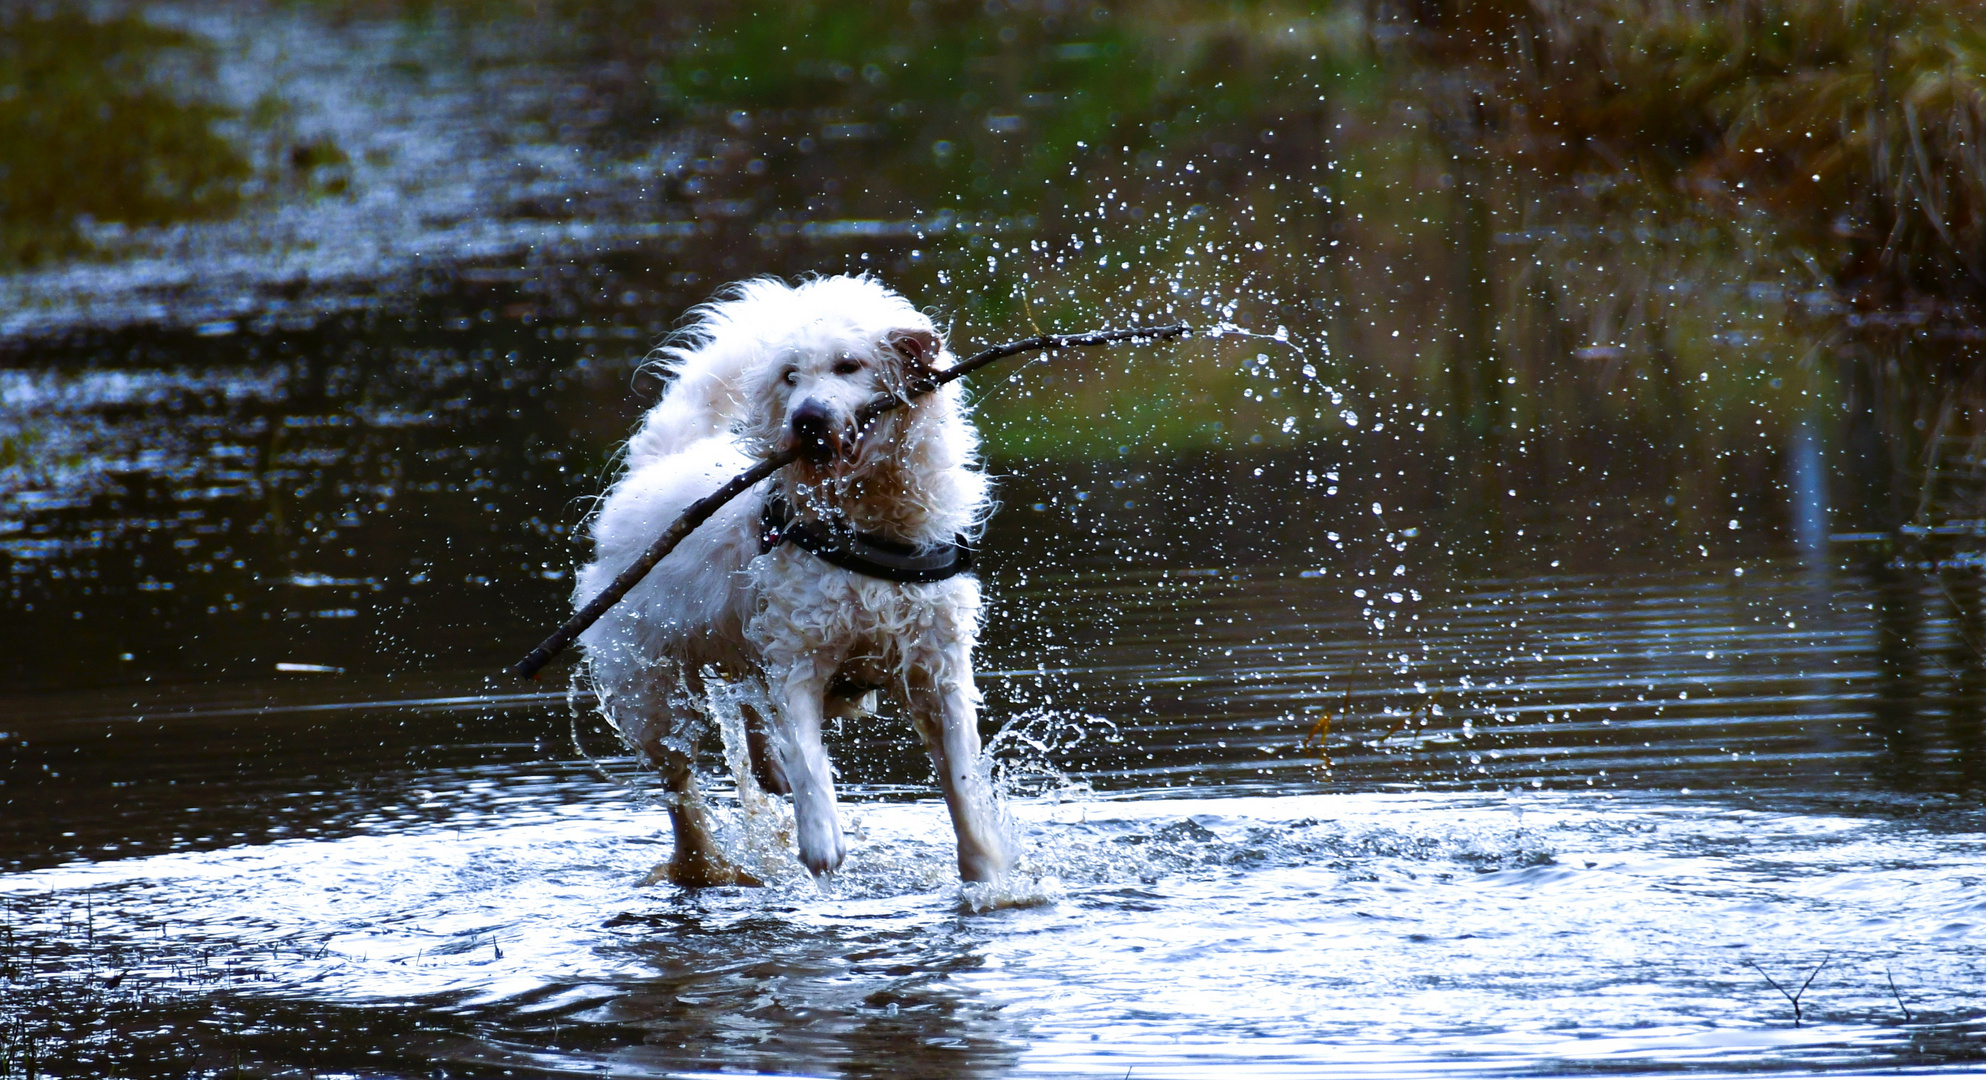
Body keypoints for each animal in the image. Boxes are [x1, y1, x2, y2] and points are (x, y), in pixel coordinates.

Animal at [575, 275, 1008, 885]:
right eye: (789, 376)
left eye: (849, 365)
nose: (806, 418)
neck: (863, 519)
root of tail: (653, 469)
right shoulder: (801, 659)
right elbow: (809, 760)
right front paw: (821, 839)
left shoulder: (937, 668)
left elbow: (964, 780)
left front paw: (988, 871)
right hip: (650, 691)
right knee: (682, 791)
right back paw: (702, 862)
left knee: (751, 702)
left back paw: (762, 773)